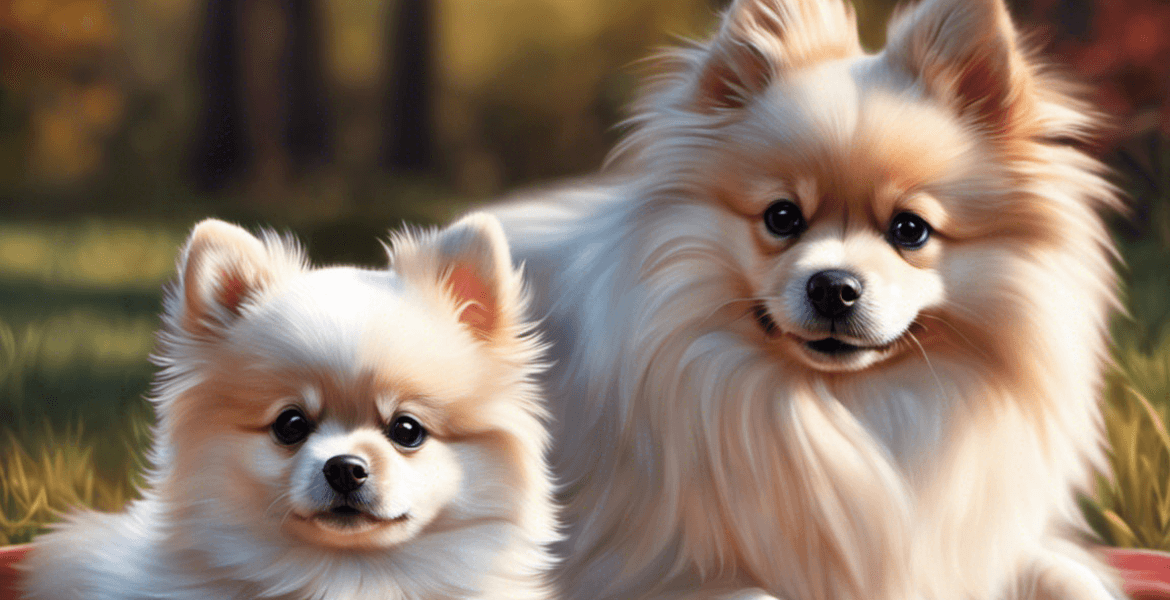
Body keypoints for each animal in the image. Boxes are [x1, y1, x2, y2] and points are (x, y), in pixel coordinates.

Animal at [486, 1, 1123, 598]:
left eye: (910, 229)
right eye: (782, 217)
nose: (833, 286)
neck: (838, 411)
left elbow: (1068, 574)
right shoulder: (618, 566)